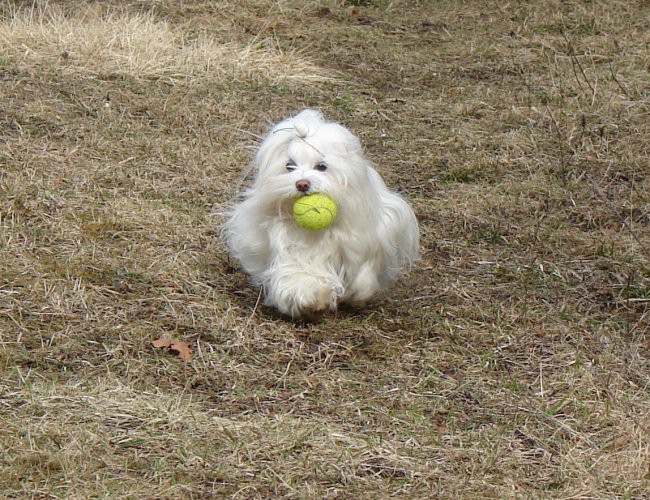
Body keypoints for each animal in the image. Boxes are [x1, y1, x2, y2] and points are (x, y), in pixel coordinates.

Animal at [225, 110, 420, 316]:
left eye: (321, 166)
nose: (302, 183)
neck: (317, 233)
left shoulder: (367, 238)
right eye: (289, 166)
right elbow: (298, 272)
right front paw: (310, 299)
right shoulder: (288, 243)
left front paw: (358, 292)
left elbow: (363, 270)